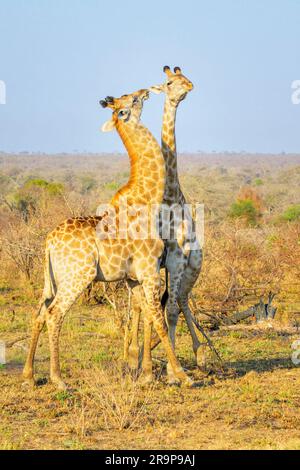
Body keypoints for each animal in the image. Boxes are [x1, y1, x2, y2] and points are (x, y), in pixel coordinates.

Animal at [22, 87, 192, 390]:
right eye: (132, 100)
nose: (145, 91)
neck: (147, 198)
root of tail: (49, 242)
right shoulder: (149, 271)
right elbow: (158, 319)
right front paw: (182, 375)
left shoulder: (134, 277)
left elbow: (148, 315)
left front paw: (146, 374)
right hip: (78, 276)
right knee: (55, 314)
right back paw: (58, 379)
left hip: (50, 279)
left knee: (40, 312)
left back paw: (29, 376)